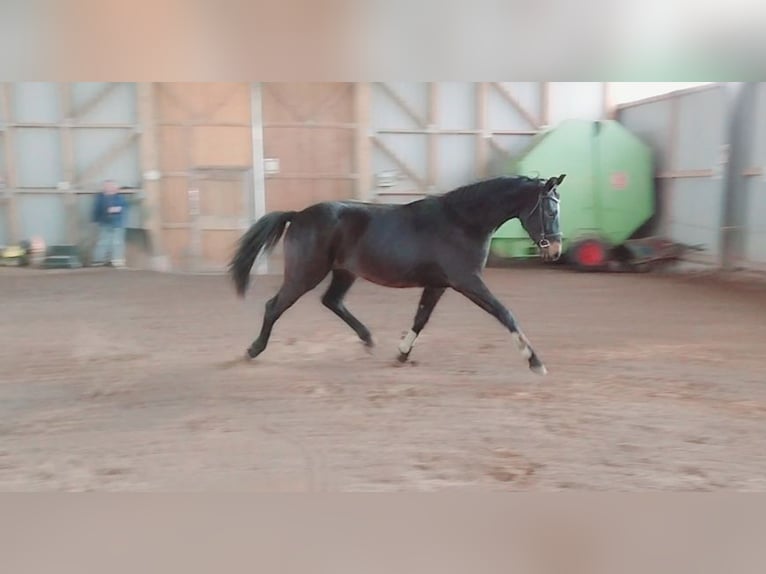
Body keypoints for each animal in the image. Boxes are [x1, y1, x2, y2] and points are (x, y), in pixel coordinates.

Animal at [229, 173, 565, 375]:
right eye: (550, 210)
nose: (556, 250)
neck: (462, 221)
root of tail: (298, 215)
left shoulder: (438, 284)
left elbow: (420, 318)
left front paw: (402, 353)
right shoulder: (467, 281)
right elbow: (504, 313)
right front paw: (534, 361)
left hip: (343, 272)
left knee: (332, 301)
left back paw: (368, 340)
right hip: (305, 274)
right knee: (275, 306)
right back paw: (252, 350)